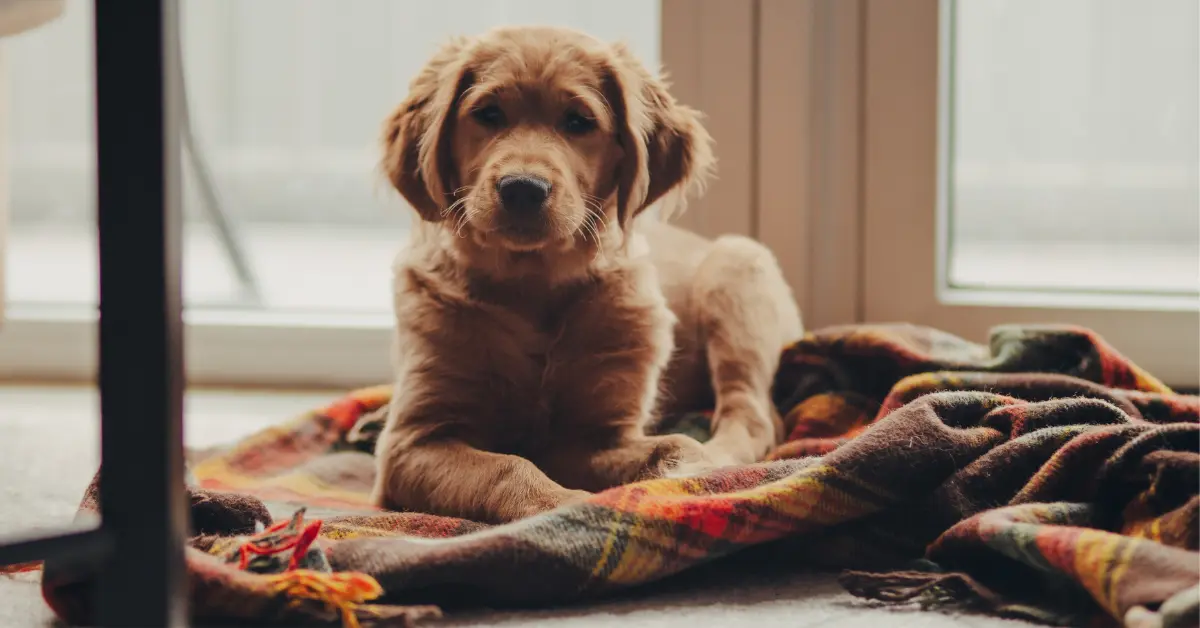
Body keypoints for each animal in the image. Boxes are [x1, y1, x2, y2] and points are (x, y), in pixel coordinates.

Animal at [372, 27, 806, 523]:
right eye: (488, 114)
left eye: (578, 122)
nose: (523, 188)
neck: (532, 285)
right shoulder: (413, 441)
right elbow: (507, 466)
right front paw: (561, 505)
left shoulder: (596, 434)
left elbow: (674, 444)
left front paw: (684, 470)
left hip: (738, 270)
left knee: (753, 413)